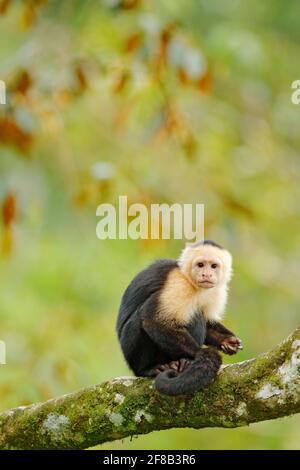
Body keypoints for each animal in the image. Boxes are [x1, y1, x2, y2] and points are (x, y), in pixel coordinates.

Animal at [116, 241, 243, 394]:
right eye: (200, 265)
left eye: (214, 266)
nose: (207, 274)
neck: (191, 281)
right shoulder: (178, 284)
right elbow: (153, 319)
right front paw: (201, 352)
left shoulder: (216, 291)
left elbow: (208, 323)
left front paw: (227, 341)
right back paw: (148, 369)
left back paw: (182, 361)